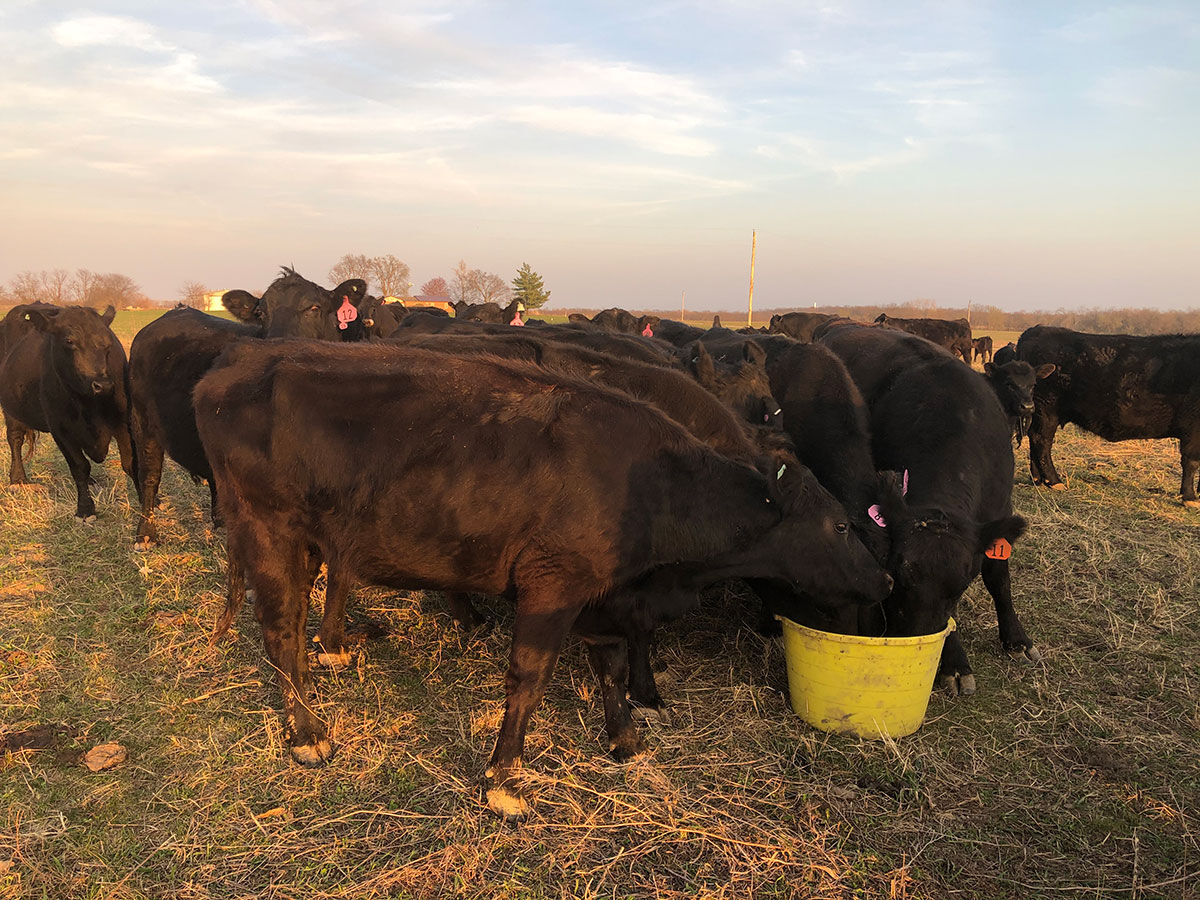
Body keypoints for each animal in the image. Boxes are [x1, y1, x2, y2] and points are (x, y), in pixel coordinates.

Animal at [0, 304, 138, 522]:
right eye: (69, 341)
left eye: (108, 343)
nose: (103, 385)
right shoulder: (61, 429)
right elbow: (79, 466)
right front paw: (85, 509)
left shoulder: (123, 421)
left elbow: (130, 462)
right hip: (11, 409)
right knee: (15, 439)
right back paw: (18, 479)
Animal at [194, 341, 893, 818]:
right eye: (840, 525)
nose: (885, 582)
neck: (655, 486)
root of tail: (237, 365)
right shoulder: (553, 586)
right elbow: (528, 682)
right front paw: (503, 779)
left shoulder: (606, 597)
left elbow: (611, 666)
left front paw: (625, 739)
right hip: (269, 531)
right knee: (280, 631)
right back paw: (308, 735)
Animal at [818, 322, 1034, 694]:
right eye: (898, 578)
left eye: (961, 586)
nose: (916, 641)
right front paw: (955, 663)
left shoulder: (998, 513)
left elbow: (999, 578)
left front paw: (1016, 638)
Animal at [1017, 325, 1200, 506]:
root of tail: (1037, 329)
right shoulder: (1193, 430)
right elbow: (1191, 461)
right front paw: (1190, 497)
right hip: (1046, 410)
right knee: (1042, 441)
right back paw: (1054, 481)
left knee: (1035, 440)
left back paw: (1038, 479)